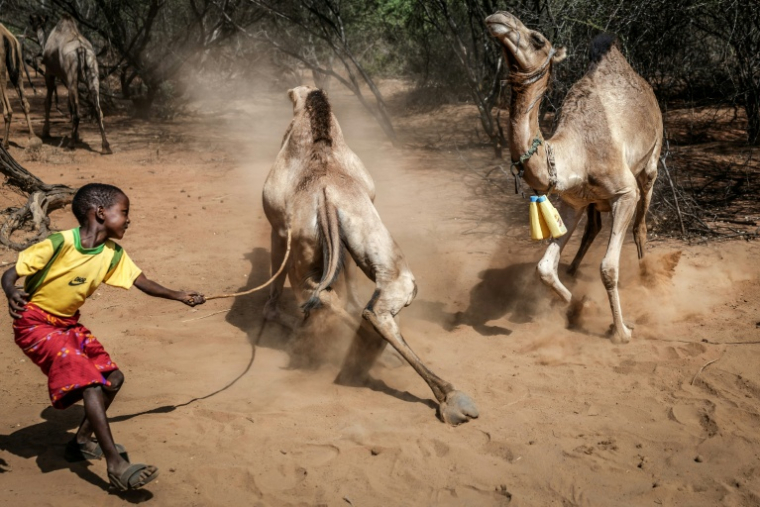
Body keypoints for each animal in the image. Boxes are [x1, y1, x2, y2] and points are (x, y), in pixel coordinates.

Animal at [29, 14, 111, 154]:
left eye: (35, 21)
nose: (32, 27)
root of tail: (81, 49)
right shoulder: (68, 79)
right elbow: (69, 105)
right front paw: (77, 135)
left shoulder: (50, 73)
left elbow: (48, 102)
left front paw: (46, 132)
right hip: (93, 72)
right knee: (98, 109)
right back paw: (106, 146)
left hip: (71, 72)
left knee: (77, 113)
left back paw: (71, 144)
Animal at [262, 85, 478, 425]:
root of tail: (324, 196)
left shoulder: (279, 229)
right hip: (369, 240)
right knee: (377, 300)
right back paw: (450, 398)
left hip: (307, 243)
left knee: (322, 295)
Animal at [485, 12, 663, 343]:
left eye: (537, 39)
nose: (499, 18)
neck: (576, 153)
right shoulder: (572, 202)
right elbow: (544, 267)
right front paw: (577, 303)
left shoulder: (624, 192)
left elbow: (608, 267)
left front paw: (621, 331)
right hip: (594, 200)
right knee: (593, 227)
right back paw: (574, 271)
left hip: (650, 163)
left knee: (641, 225)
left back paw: (648, 279)